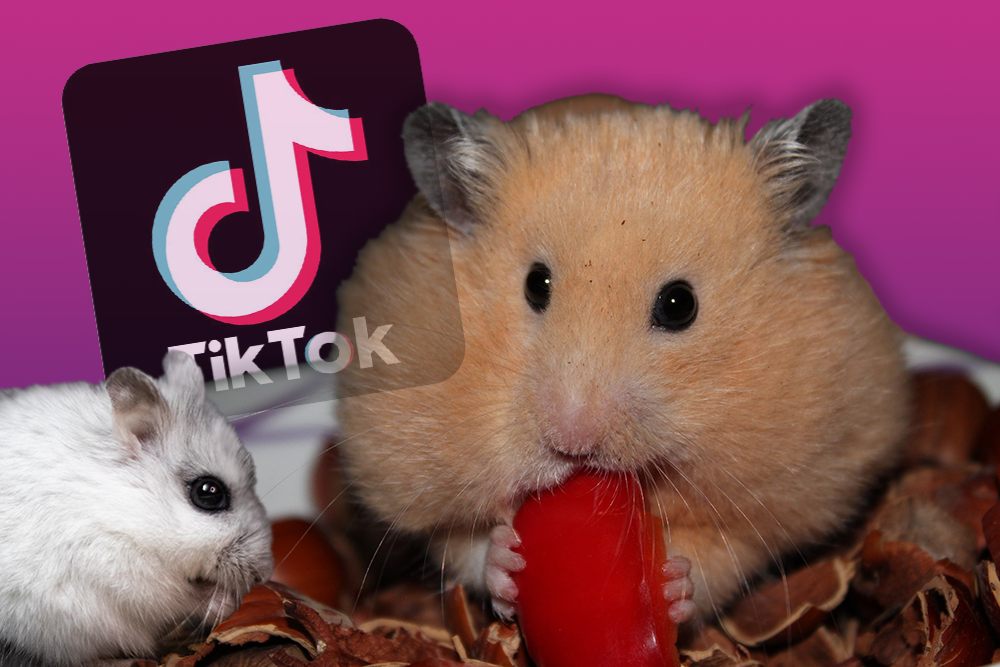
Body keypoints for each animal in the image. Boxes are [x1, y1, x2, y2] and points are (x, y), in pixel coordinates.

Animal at [333, 95, 910, 623]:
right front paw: (506, 561)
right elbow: (460, 542)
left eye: (679, 305)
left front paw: (674, 584)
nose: (572, 444)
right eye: (535, 284)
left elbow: (721, 555)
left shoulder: (774, 498)